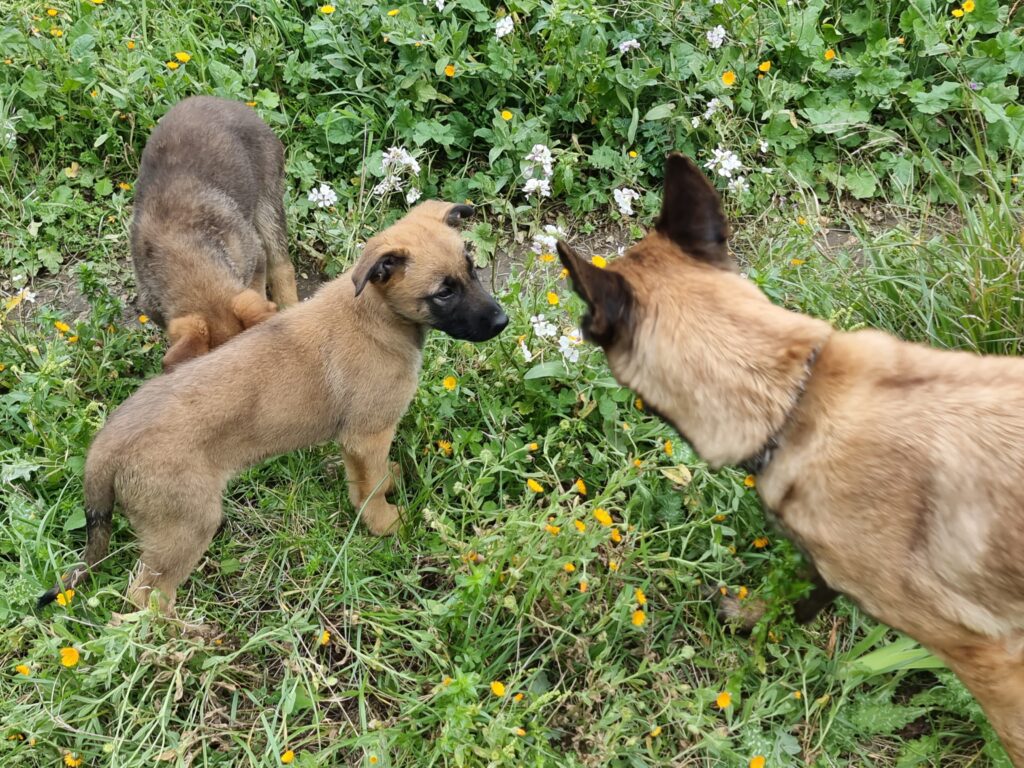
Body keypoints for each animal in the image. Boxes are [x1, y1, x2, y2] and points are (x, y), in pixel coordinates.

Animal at [40, 201, 507, 618]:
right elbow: (371, 490)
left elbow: (365, 480)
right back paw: (189, 638)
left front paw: (385, 486)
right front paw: (387, 525)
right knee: (145, 597)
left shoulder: (357, 442)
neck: (374, 313)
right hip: (185, 527)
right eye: (444, 292)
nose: (503, 322)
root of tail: (107, 445)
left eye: (473, 269)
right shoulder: (368, 433)